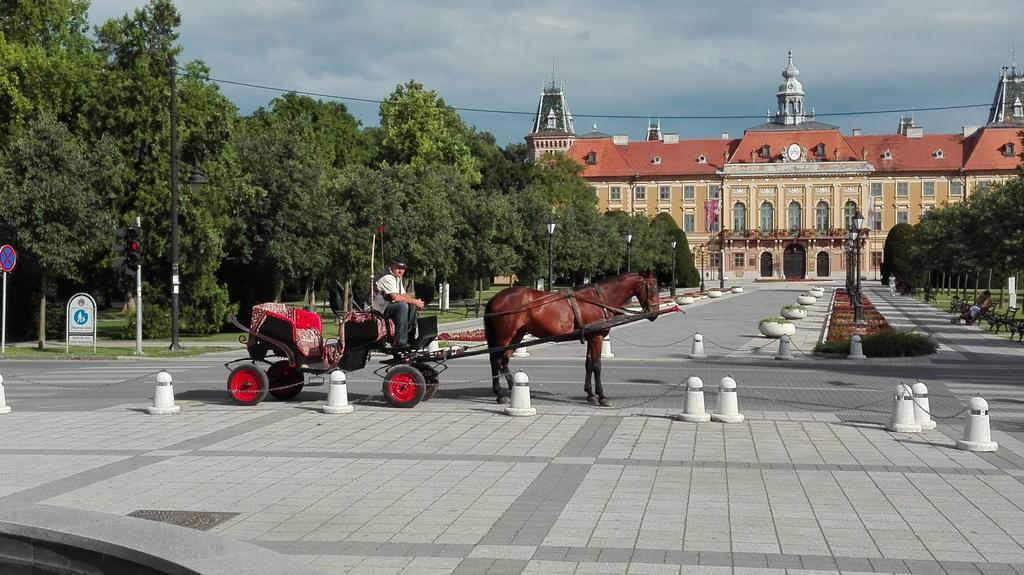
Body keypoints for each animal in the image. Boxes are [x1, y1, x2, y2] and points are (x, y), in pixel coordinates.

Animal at [483, 270, 659, 405]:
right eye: (652, 287)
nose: (655, 313)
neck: (599, 299)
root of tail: (495, 298)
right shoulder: (596, 337)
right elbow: (597, 366)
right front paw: (601, 397)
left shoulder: (591, 338)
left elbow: (589, 365)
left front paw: (590, 394)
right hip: (506, 337)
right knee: (496, 361)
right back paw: (500, 394)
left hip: (516, 336)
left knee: (504, 362)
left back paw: (512, 386)